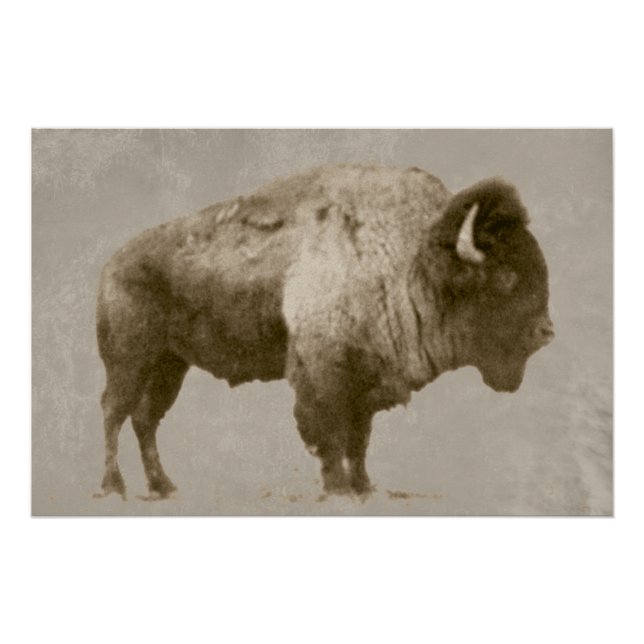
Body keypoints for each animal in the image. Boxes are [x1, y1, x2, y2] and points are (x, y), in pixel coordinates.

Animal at [95, 164, 554, 500]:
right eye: (506, 277)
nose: (546, 331)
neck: (411, 262)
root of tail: (113, 264)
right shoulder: (323, 378)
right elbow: (330, 436)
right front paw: (338, 490)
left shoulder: (366, 383)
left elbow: (359, 439)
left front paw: (364, 487)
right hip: (129, 361)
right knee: (114, 412)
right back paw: (114, 487)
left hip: (170, 365)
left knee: (145, 420)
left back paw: (163, 486)